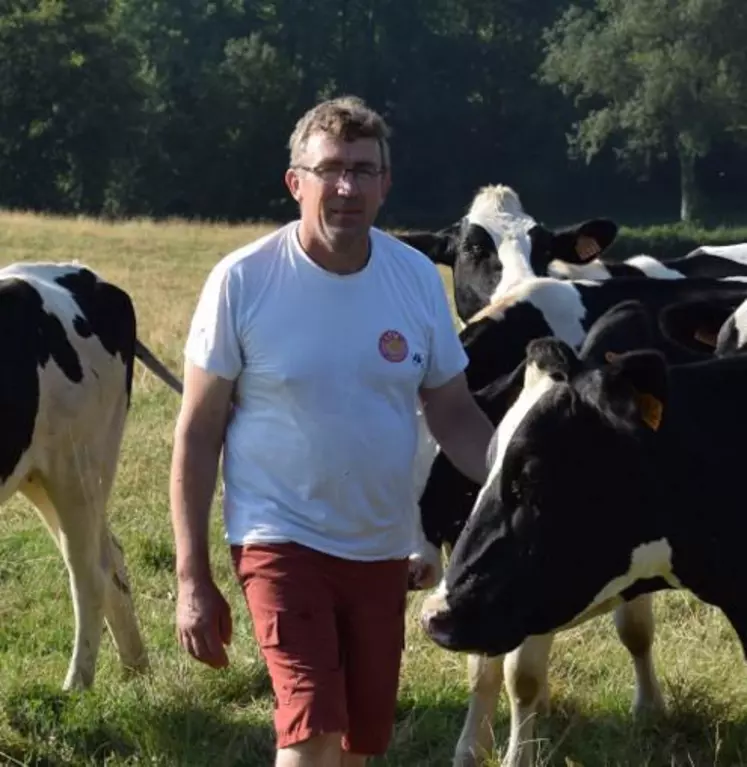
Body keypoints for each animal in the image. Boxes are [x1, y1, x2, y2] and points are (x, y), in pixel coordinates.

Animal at [0, 262, 183, 688]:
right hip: (42, 473)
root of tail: (84, 274)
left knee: (89, 573)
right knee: (110, 556)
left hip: (76, 467)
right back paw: (135, 666)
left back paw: (77, 683)